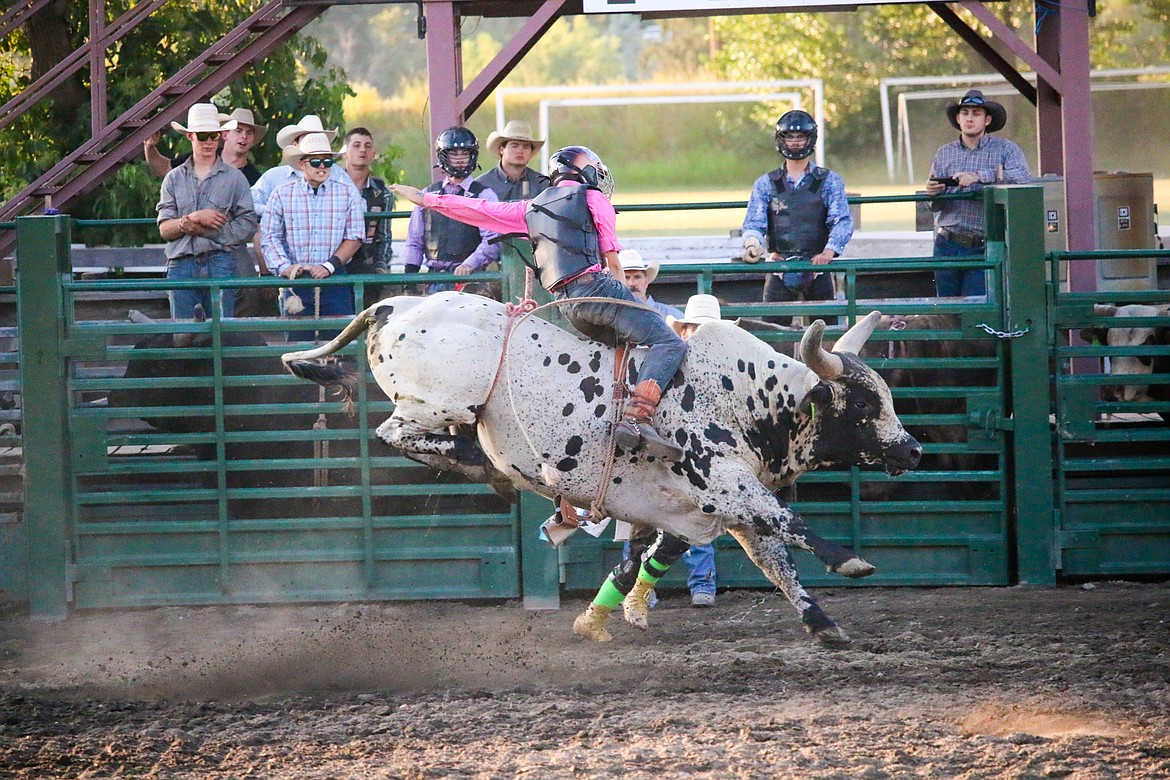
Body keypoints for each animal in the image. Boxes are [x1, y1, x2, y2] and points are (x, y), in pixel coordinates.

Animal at [283, 292, 921, 645]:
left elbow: (772, 561)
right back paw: (481, 465)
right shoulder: (726, 482)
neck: (746, 396)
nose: (911, 451)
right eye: (863, 406)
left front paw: (823, 624)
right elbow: (790, 524)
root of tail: (395, 305)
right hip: (437, 403)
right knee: (396, 433)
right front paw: (853, 562)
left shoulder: (718, 506)